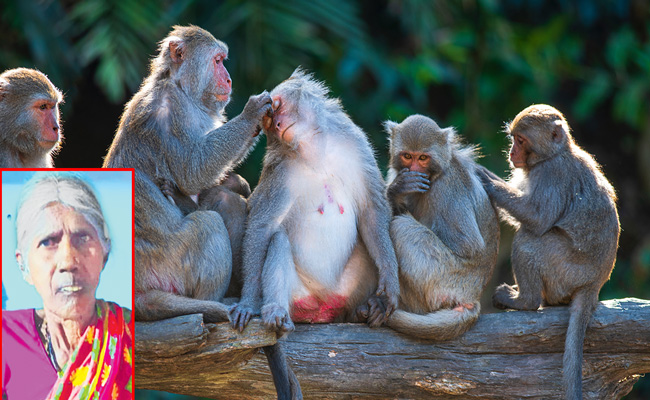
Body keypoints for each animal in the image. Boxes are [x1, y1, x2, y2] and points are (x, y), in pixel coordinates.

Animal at [102, 25, 300, 399]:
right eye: (219, 60)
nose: (229, 77)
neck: (179, 87)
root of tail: (139, 292)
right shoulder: (170, 113)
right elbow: (194, 171)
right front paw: (253, 113)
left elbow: (210, 182)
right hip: (173, 265)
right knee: (210, 221)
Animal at [229, 69, 400, 335]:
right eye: (269, 120)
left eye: (276, 108)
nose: (277, 124)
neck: (315, 154)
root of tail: (321, 307)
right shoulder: (281, 173)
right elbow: (262, 227)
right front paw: (247, 302)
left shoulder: (356, 146)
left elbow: (372, 213)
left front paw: (389, 286)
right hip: (299, 295)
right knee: (278, 240)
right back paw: (276, 311)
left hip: (344, 289)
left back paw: (363, 310)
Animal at [368, 114, 499, 341]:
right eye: (407, 156)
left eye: (423, 158)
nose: (413, 171)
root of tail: (471, 297)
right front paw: (398, 190)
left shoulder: (447, 188)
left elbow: (467, 245)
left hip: (443, 278)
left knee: (401, 227)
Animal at [476, 104, 620, 400]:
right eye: (513, 139)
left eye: (521, 141)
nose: (511, 154)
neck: (556, 153)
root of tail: (595, 283)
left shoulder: (551, 174)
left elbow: (537, 218)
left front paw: (485, 179)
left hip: (567, 271)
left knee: (529, 240)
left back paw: (525, 301)